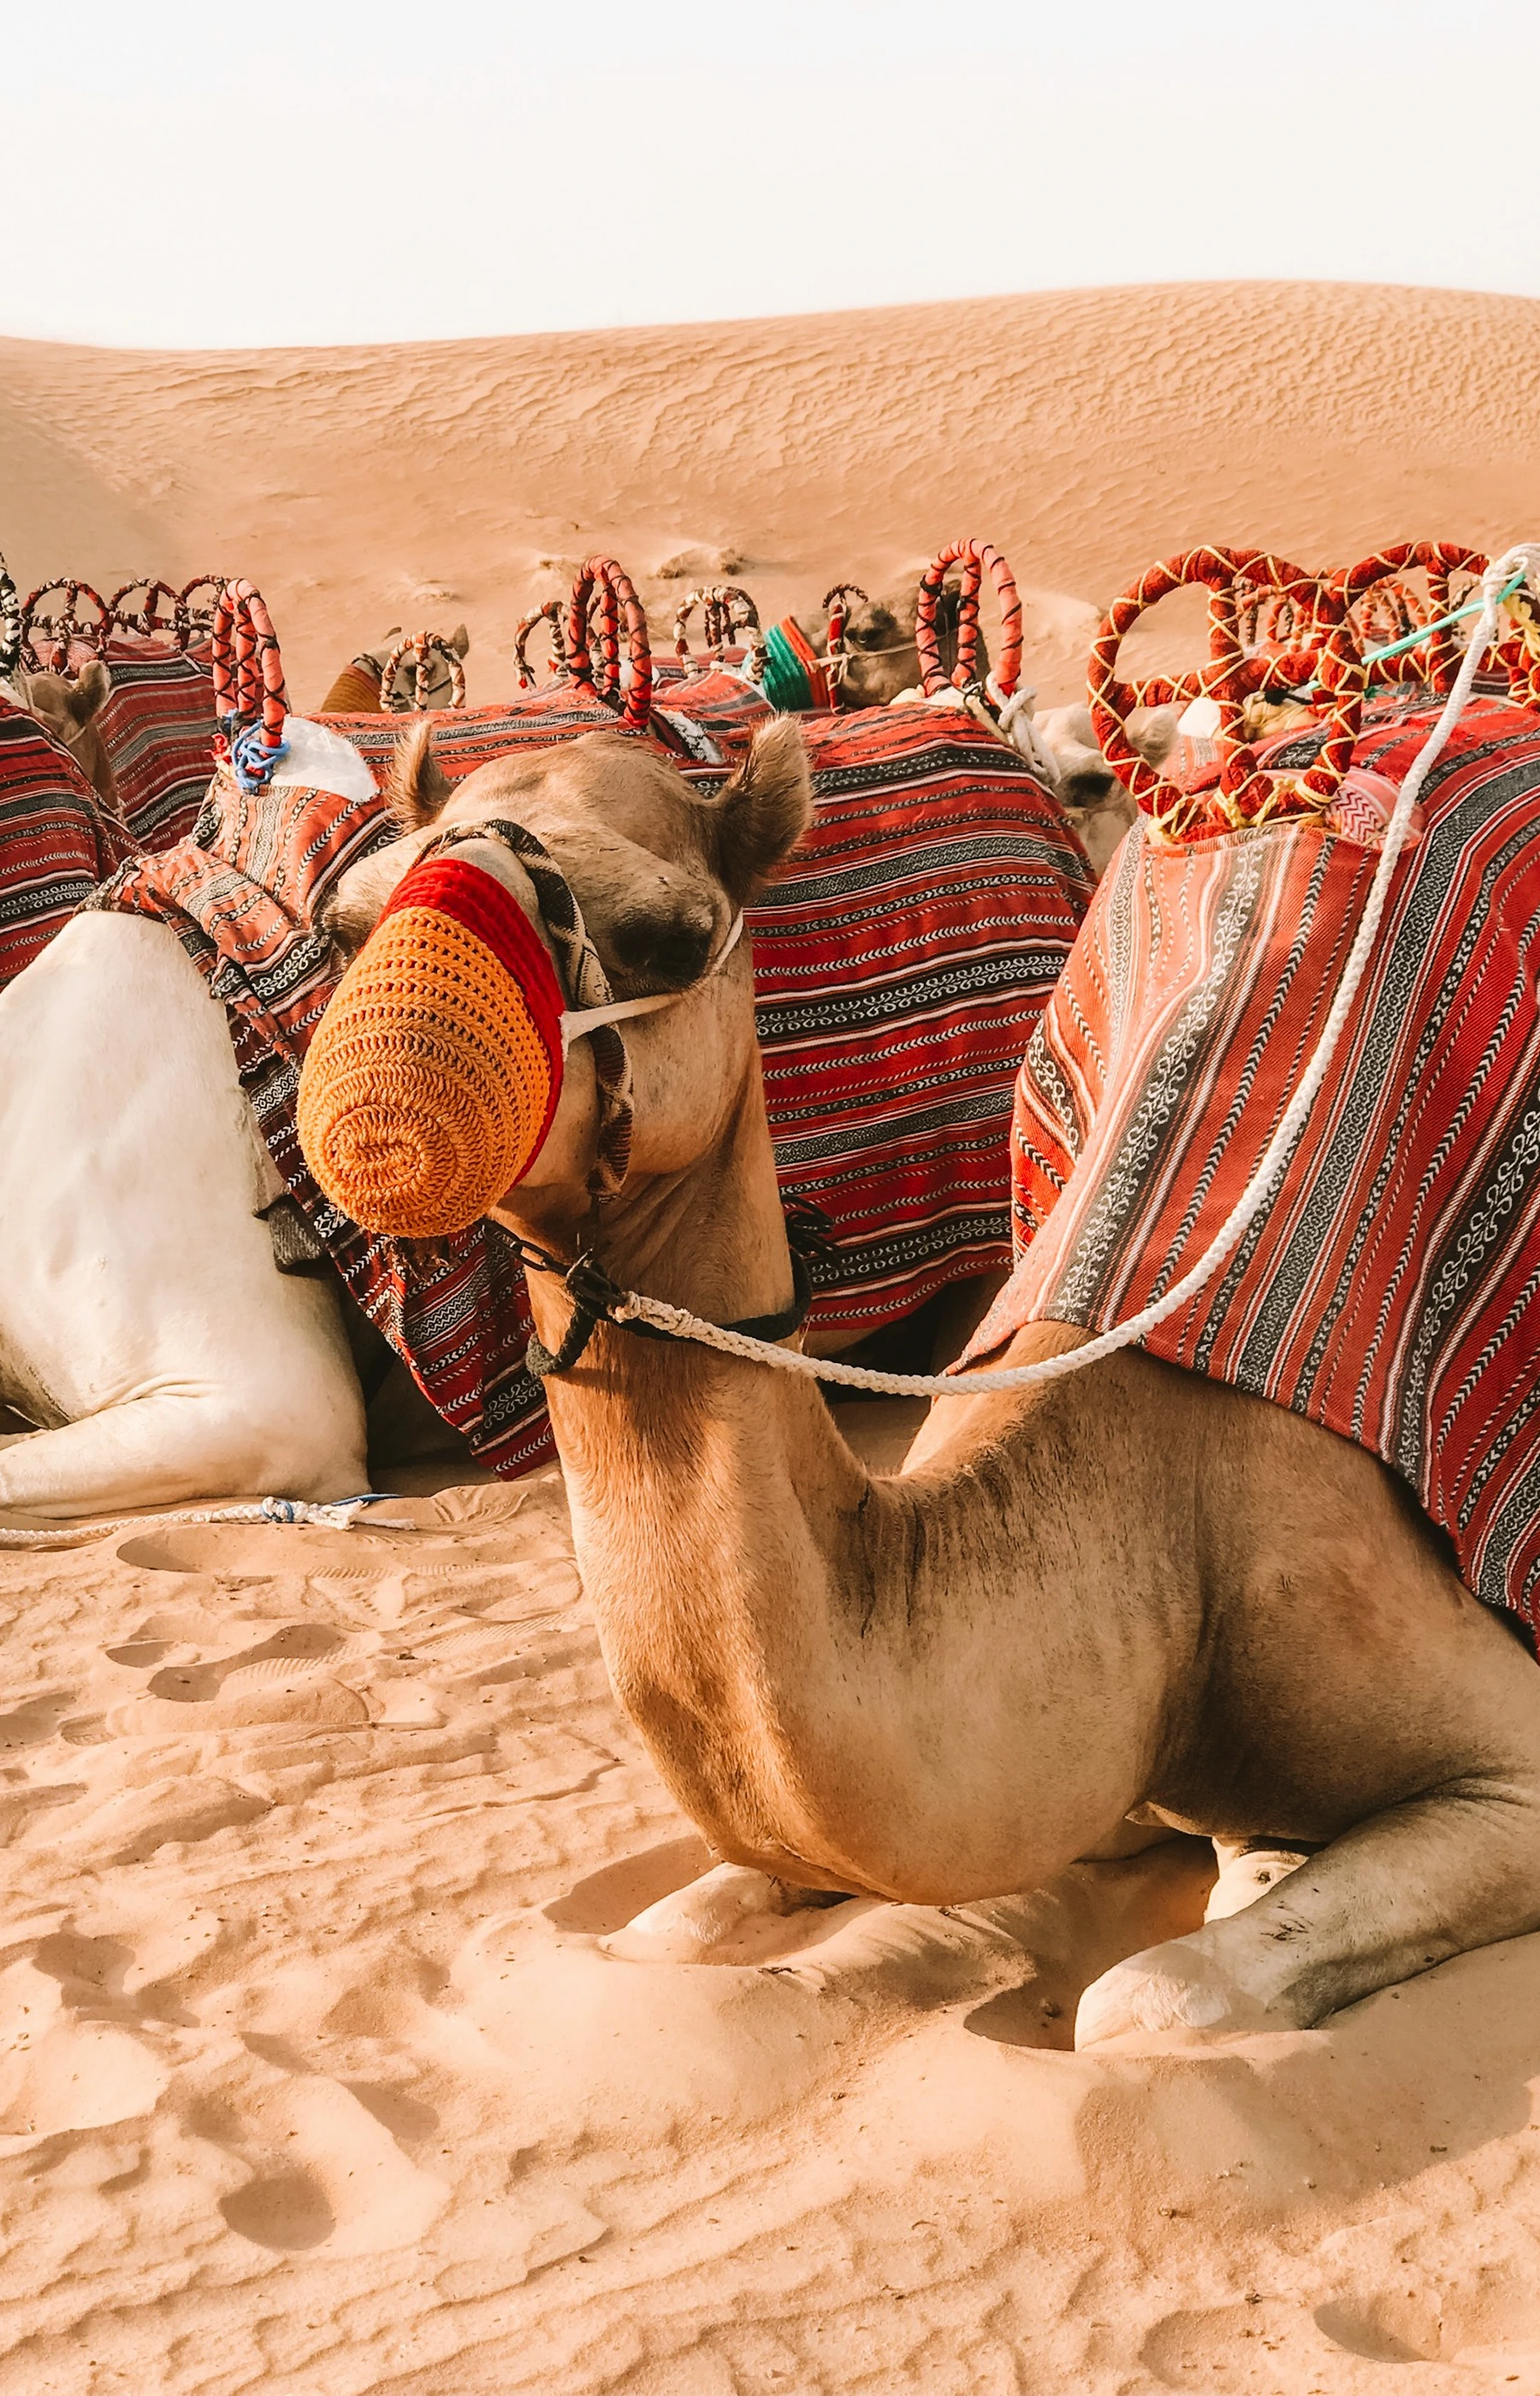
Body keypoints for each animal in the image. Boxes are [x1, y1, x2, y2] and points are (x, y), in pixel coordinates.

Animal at [273, 716, 1540, 2046]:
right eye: (346, 925)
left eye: (667, 935)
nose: (387, 1099)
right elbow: (662, 1934)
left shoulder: (1498, 1763)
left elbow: (1143, 1998)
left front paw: (1256, 1872)